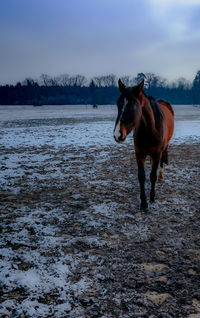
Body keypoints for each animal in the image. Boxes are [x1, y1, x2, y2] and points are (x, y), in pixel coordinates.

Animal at [113, 78, 174, 210]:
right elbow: (141, 176)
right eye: (118, 104)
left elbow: (152, 176)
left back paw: (161, 176)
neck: (149, 130)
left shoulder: (157, 154)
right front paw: (143, 203)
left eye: (132, 105)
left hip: (164, 148)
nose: (117, 134)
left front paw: (152, 198)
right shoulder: (139, 153)